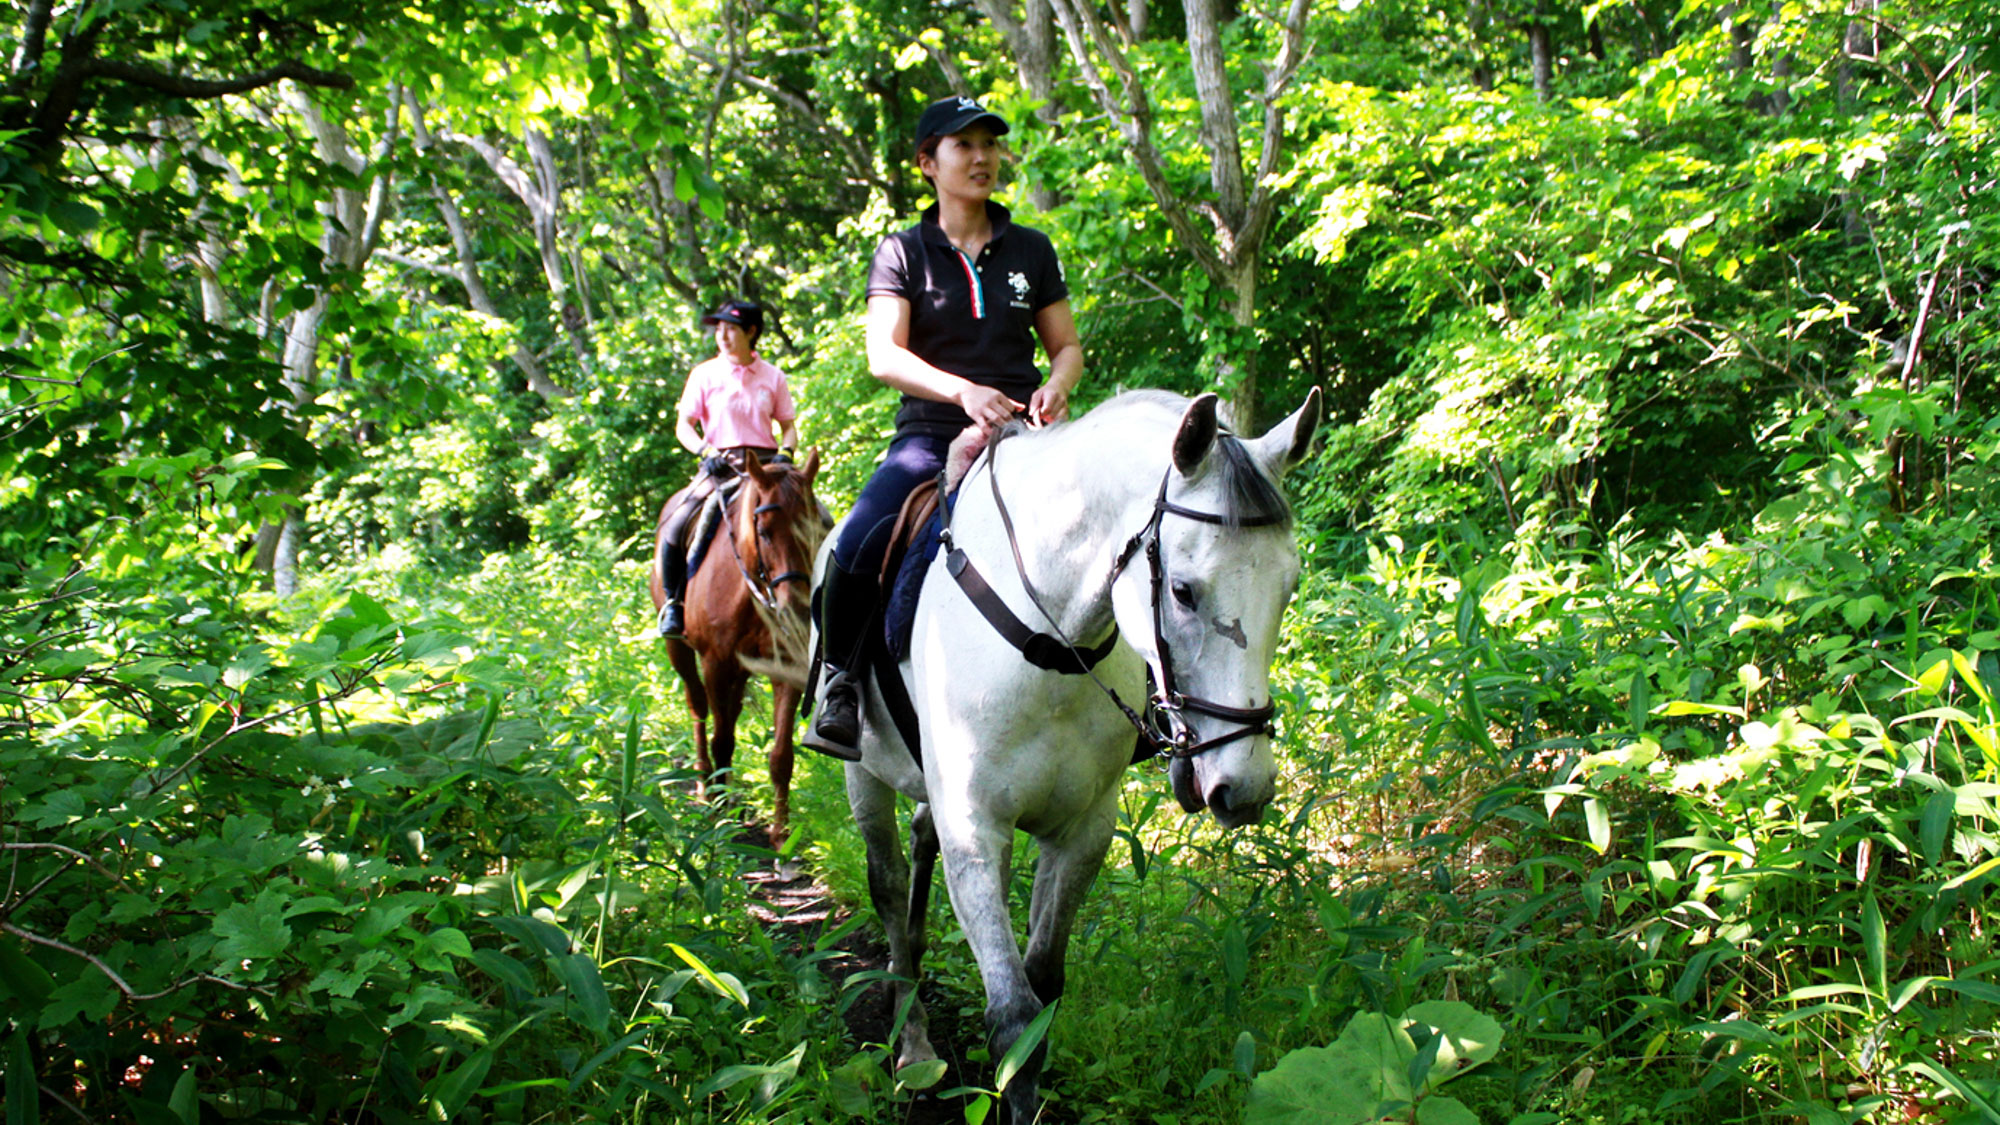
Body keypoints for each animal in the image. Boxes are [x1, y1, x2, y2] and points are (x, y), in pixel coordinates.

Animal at [648, 446, 820, 840]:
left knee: (730, 709)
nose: (799, 610)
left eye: (815, 528)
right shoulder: (715, 663)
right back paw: (702, 783)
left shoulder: (784, 667)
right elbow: (722, 738)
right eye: (764, 532)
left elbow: (781, 756)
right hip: (680, 651)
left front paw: (781, 837)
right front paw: (719, 808)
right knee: (698, 707)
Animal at [824, 388, 1312, 1120]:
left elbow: (1044, 985)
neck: (1048, 640)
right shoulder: (974, 828)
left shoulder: (1082, 831)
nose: (1243, 786)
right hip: (864, 776)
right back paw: (912, 1042)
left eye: (1288, 586)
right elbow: (1014, 1013)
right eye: (1183, 589)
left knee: (918, 849)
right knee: (887, 888)